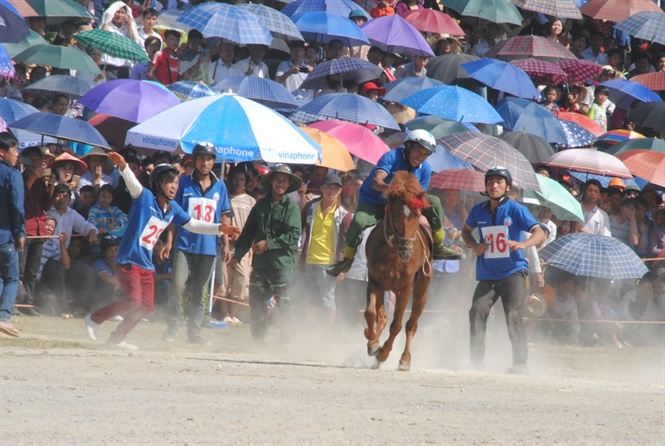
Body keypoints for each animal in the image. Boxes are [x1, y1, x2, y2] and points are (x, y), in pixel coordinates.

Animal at [360, 172, 434, 372]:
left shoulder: (405, 288)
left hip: (422, 288)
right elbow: (370, 313)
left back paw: (405, 359)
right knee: (382, 317)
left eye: (417, 215)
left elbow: (397, 325)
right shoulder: (374, 281)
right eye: (395, 214)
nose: (406, 251)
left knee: (411, 324)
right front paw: (373, 343)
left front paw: (384, 353)